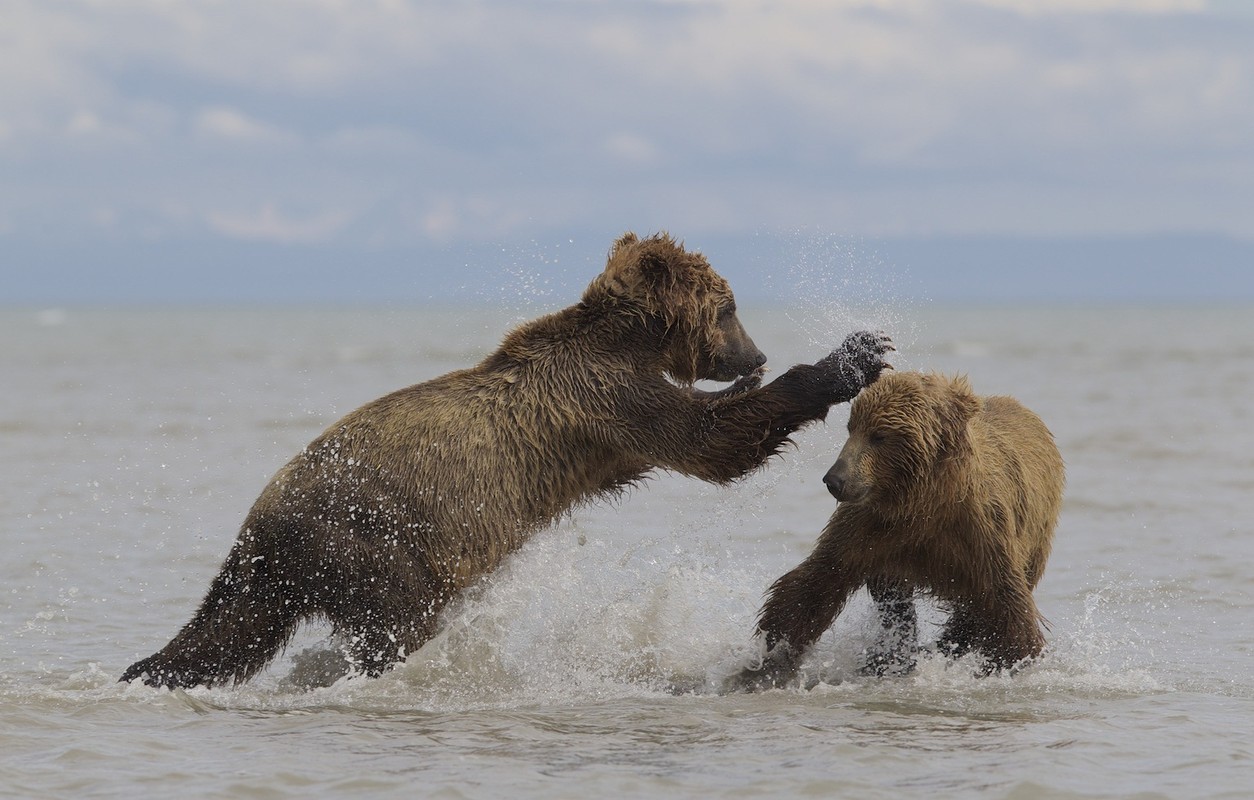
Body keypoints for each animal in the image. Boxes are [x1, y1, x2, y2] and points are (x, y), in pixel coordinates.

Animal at [122, 230, 897, 692]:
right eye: (730, 306)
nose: (754, 354)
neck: (627, 341)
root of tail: (263, 519)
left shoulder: (609, 428)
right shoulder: (606, 398)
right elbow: (710, 441)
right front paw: (850, 357)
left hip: (281, 573)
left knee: (232, 633)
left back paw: (148, 669)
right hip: (372, 538)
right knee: (391, 622)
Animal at [732, 371, 1063, 692]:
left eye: (879, 435)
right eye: (851, 428)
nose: (834, 480)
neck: (920, 500)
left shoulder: (979, 532)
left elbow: (1005, 605)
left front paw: (1011, 661)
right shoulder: (869, 528)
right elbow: (813, 586)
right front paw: (762, 666)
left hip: (1034, 540)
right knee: (895, 604)